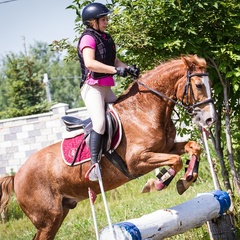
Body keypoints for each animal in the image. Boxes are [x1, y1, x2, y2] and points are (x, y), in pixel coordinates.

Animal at [0, 55, 216, 239]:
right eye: (198, 85)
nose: (209, 119)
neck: (144, 110)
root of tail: (16, 176)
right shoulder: (137, 161)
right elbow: (176, 161)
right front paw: (158, 182)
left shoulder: (167, 147)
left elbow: (194, 147)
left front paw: (186, 180)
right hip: (48, 219)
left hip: (59, 214)